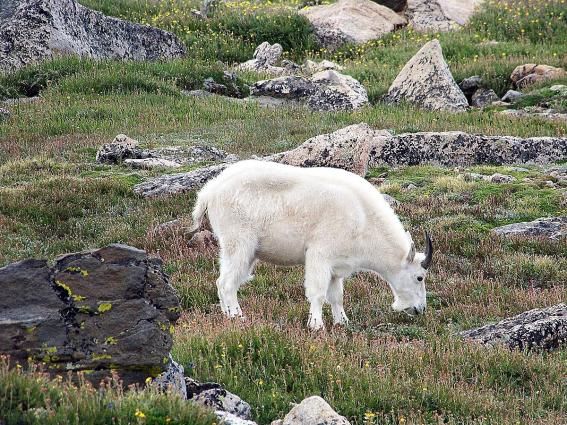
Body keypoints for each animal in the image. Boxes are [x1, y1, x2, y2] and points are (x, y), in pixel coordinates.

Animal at [191, 159, 434, 328]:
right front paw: (316, 325)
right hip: (239, 243)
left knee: (221, 281)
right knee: (227, 283)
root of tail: (210, 191)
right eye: (419, 277)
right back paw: (236, 316)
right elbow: (317, 292)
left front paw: (342, 322)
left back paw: (226, 314)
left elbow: (336, 296)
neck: (363, 220)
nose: (419, 309)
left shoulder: (336, 266)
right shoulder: (320, 254)